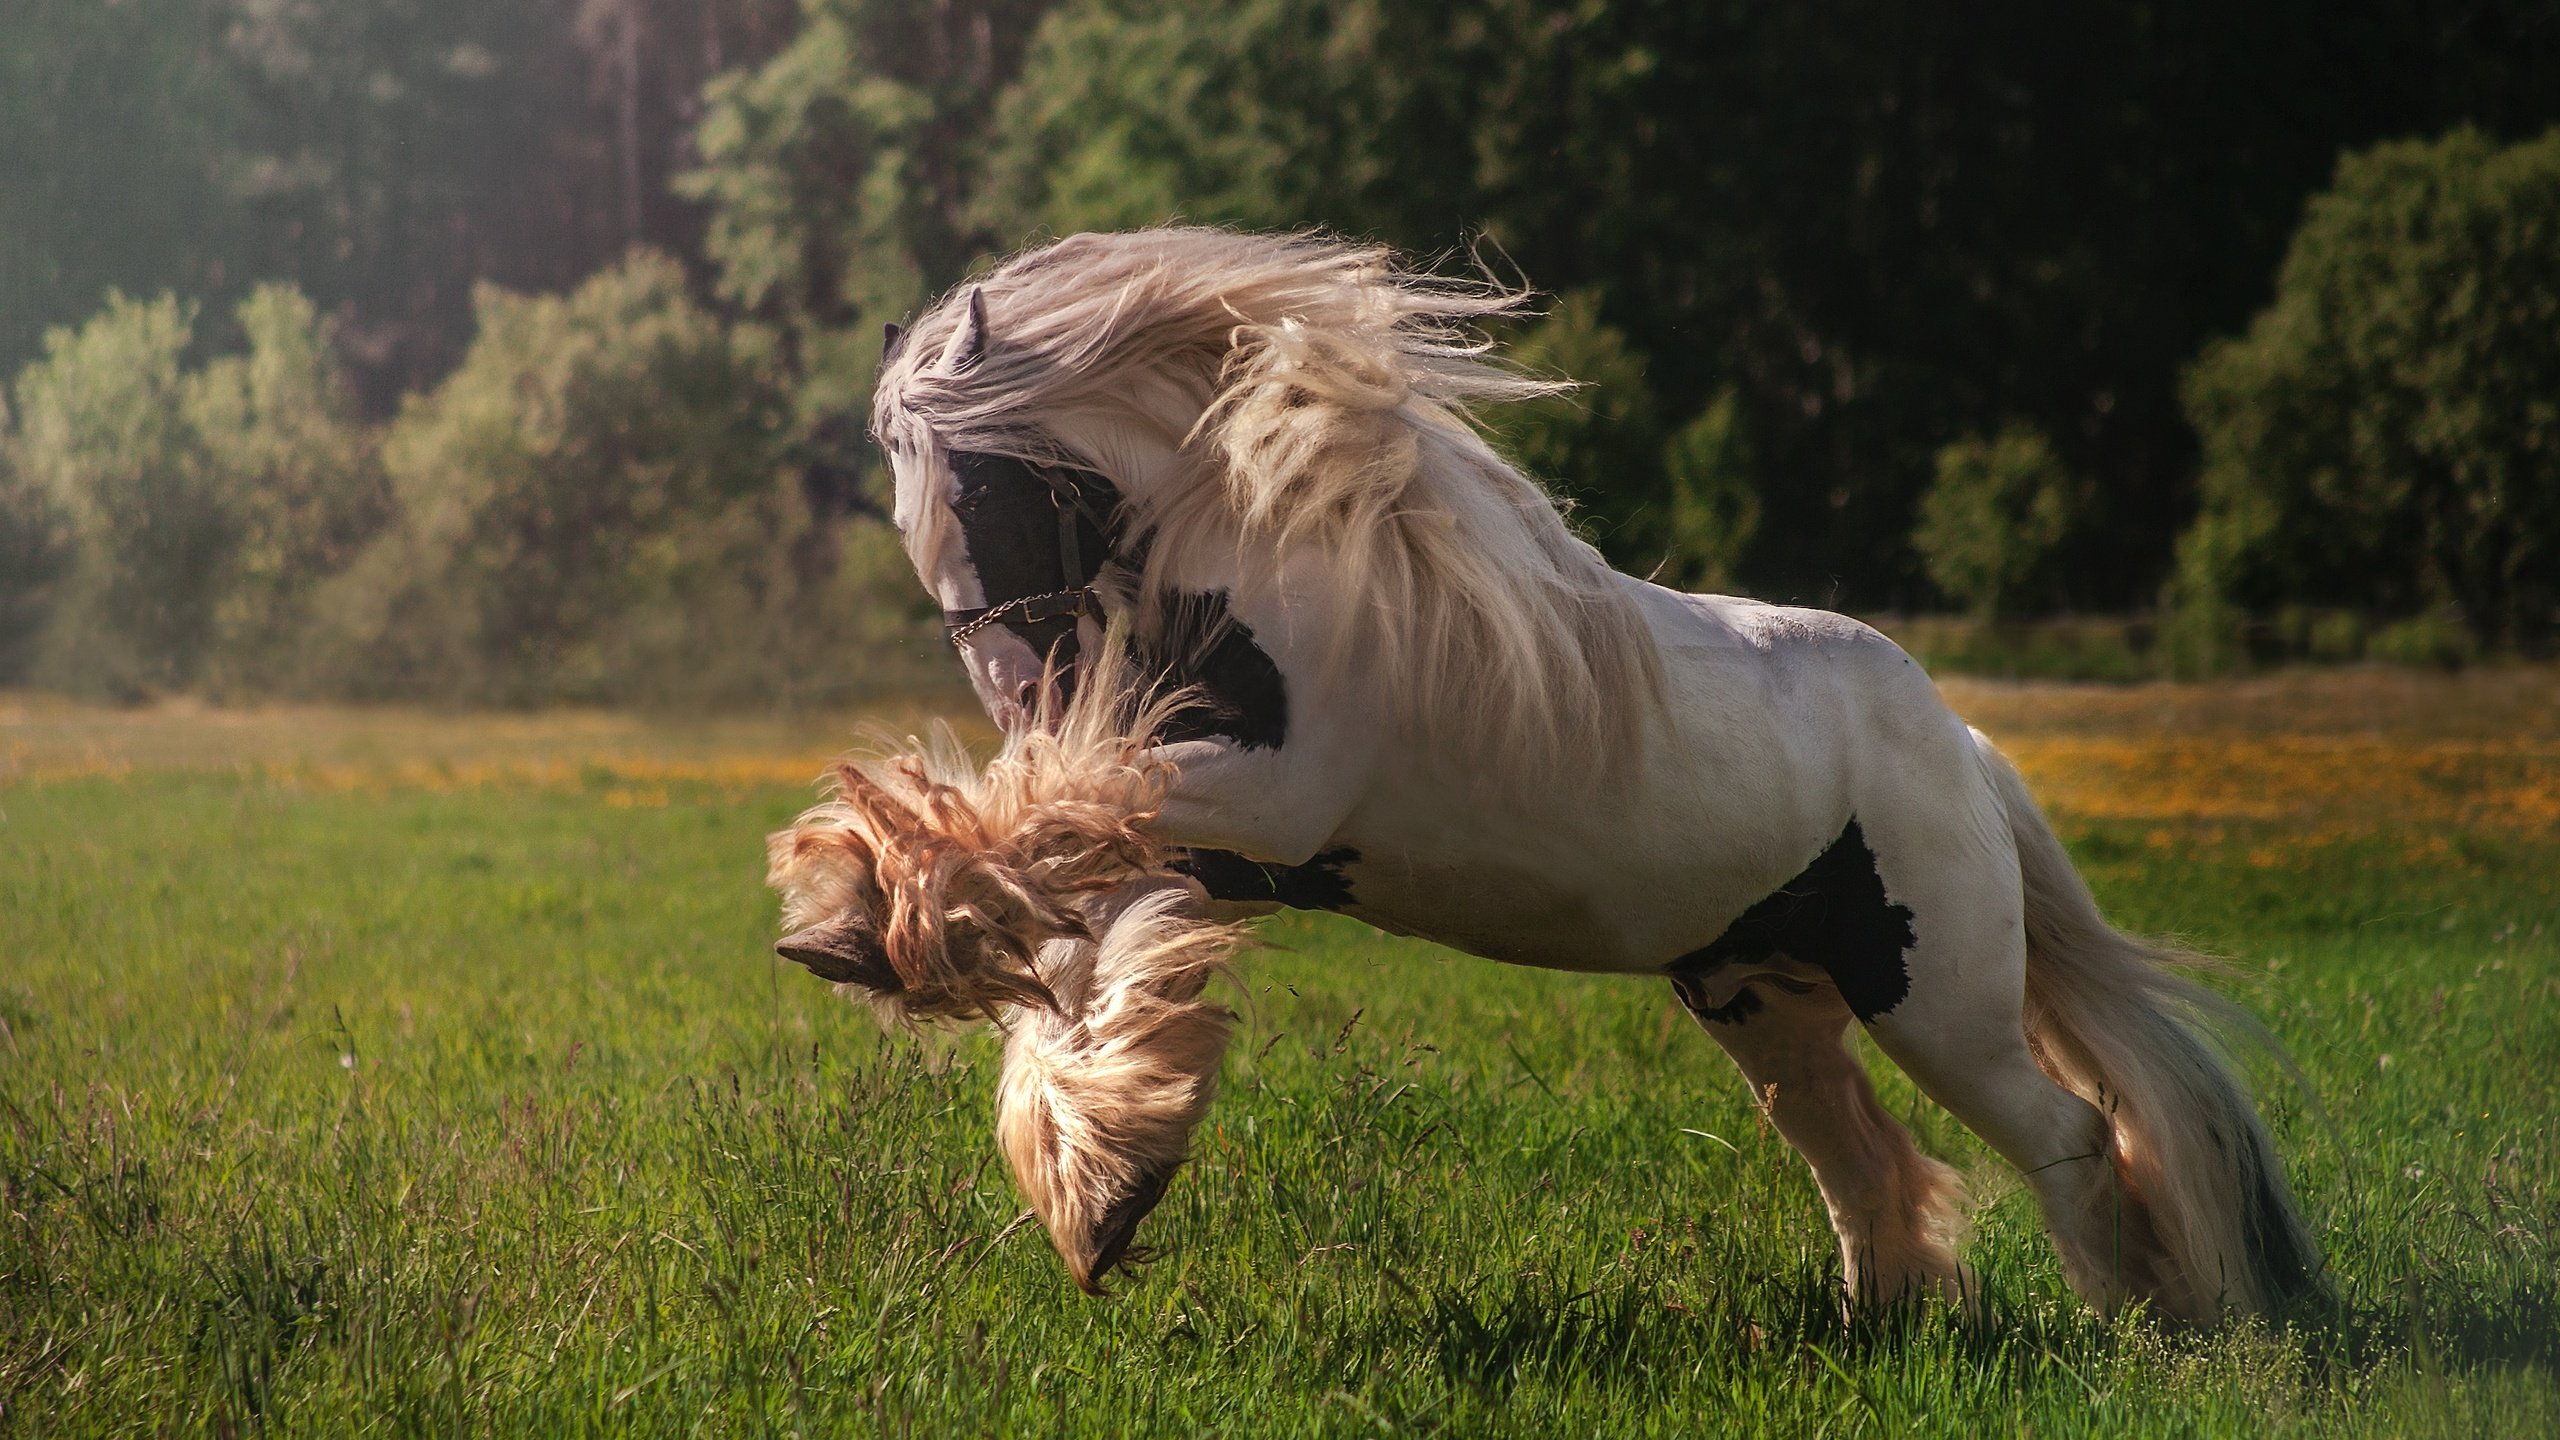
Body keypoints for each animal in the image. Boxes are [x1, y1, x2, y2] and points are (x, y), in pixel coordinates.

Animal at [757, 229, 2324, 1322]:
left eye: (976, 484)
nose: (1024, 697)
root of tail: (1965, 752)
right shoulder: (1212, 841)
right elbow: (1087, 957)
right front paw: (1098, 1178)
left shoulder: (1257, 798)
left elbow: (1047, 865)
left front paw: (858, 919)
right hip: (1759, 998)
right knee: (1860, 1159)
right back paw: (1878, 1329)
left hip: (1935, 999)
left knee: (2068, 1133)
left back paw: (2132, 1326)